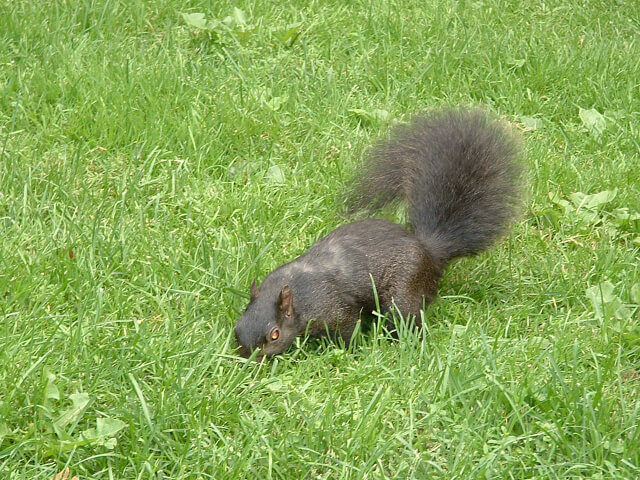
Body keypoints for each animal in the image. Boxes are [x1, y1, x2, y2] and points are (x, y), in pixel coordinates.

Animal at [234, 108, 524, 359]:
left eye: (274, 334)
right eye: (237, 327)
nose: (250, 360)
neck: (295, 293)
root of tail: (430, 252)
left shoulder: (335, 308)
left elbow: (348, 329)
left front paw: (348, 351)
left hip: (405, 290)